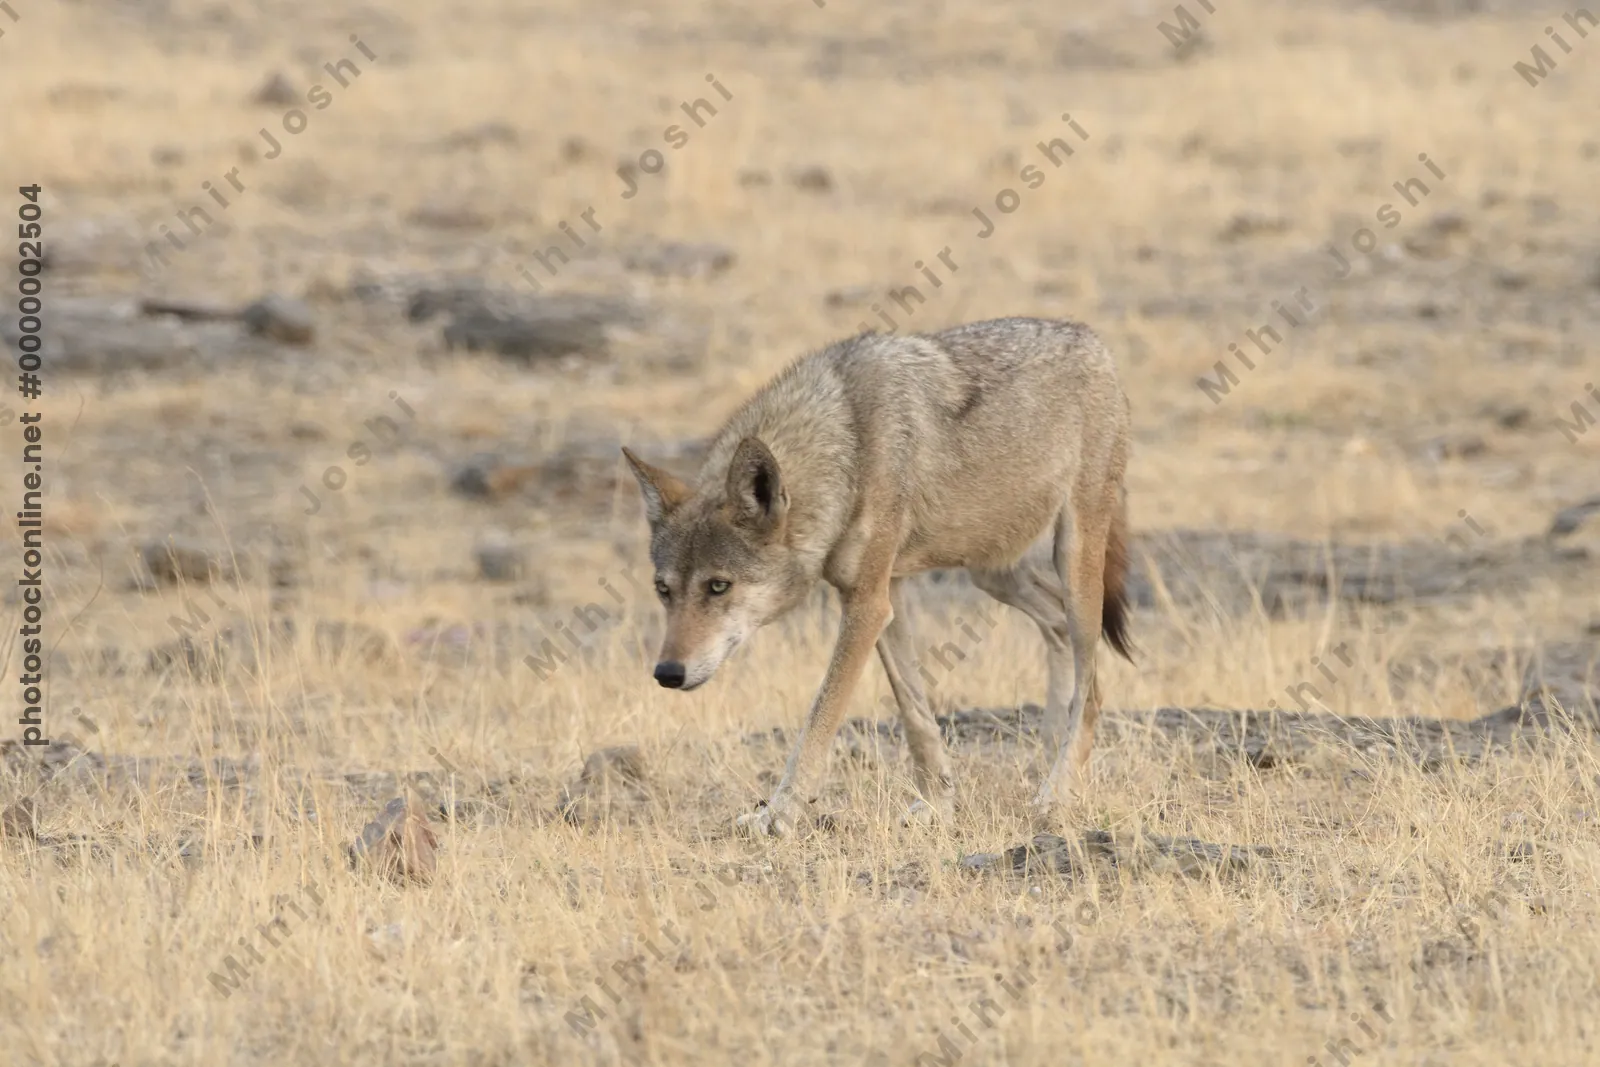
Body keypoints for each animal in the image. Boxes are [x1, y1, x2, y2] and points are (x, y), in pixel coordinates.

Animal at [622, 316, 1134, 837]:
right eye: (664, 591)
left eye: (718, 586)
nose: (667, 673)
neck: (846, 447)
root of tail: (1091, 337)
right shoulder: (886, 597)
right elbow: (916, 716)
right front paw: (937, 804)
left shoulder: (867, 606)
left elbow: (819, 722)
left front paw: (779, 815)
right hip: (991, 572)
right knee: (1056, 629)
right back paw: (1046, 756)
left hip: (1073, 564)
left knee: (1091, 686)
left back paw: (1056, 793)